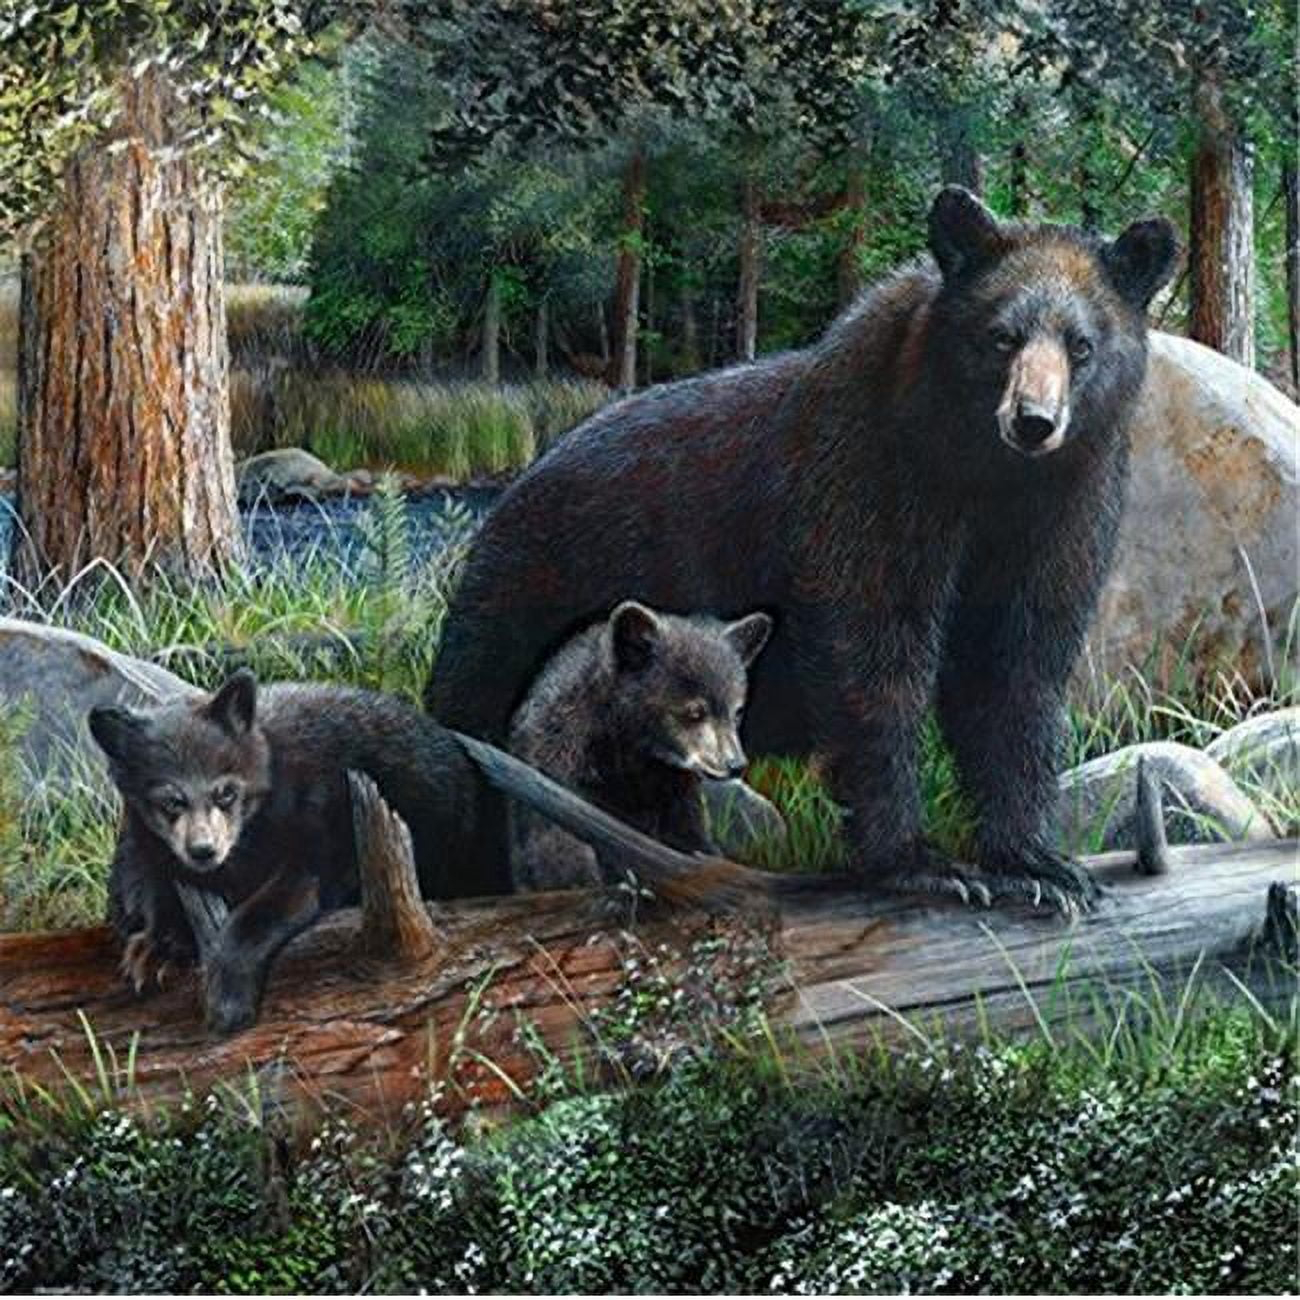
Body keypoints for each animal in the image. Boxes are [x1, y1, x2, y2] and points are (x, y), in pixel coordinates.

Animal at [425, 186, 1179, 912]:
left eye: (1082, 345)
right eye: (1001, 337)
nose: (1033, 422)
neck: (982, 474)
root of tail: (511, 493)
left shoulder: (1060, 513)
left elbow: (1015, 666)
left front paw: (1038, 863)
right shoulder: (868, 481)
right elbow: (872, 661)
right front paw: (925, 864)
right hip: (523, 605)